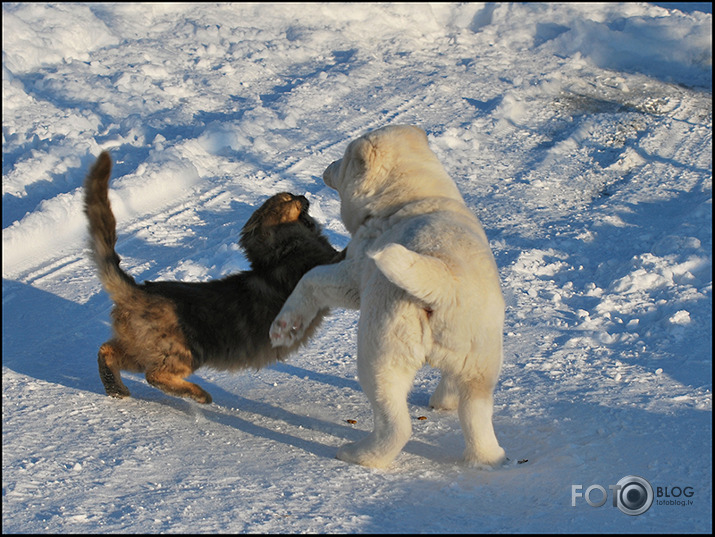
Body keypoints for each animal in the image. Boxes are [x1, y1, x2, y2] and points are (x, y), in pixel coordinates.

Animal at [84, 151, 342, 402]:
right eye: (288, 198)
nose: (303, 195)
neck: (282, 250)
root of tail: (137, 290)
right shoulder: (328, 264)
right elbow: (343, 252)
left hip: (139, 351)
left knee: (105, 351)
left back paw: (116, 389)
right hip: (185, 351)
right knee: (155, 375)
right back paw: (199, 395)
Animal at [270, 125, 510, 468]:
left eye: (344, 160)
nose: (327, 167)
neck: (410, 197)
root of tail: (444, 280)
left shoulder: (353, 275)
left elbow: (310, 280)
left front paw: (284, 326)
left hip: (380, 355)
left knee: (396, 426)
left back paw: (359, 454)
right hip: (480, 363)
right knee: (476, 421)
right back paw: (480, 450)